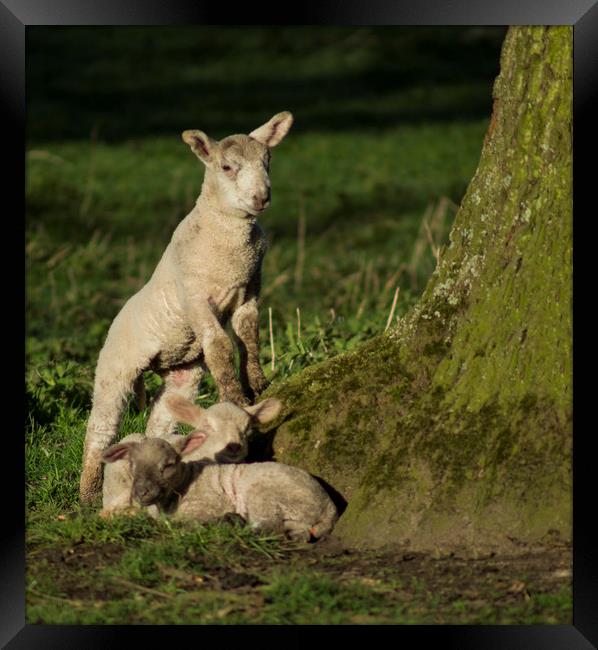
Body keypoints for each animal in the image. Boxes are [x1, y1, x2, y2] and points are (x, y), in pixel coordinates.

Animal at [79, 111, 296, 502]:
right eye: (226, 167)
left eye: (268, 161)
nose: (262, 197)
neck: (230, 244)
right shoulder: (195, 297)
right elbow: (221, 347)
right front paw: (234, 397)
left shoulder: (250, 289)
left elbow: (249, 335)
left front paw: (257, 383)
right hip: (116, 363)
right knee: (101, 425)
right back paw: (87, 494)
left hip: (182, 373)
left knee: (161, 417)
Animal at [101, 428, 340, 540]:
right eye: (132, 464)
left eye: (168, 465)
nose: (142, 492)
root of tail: (329, 507)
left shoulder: (210, 503)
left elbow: (180, 521)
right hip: (297, 517)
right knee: (298, 534)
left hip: (266, 494)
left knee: (269, 526)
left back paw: (233, 523)